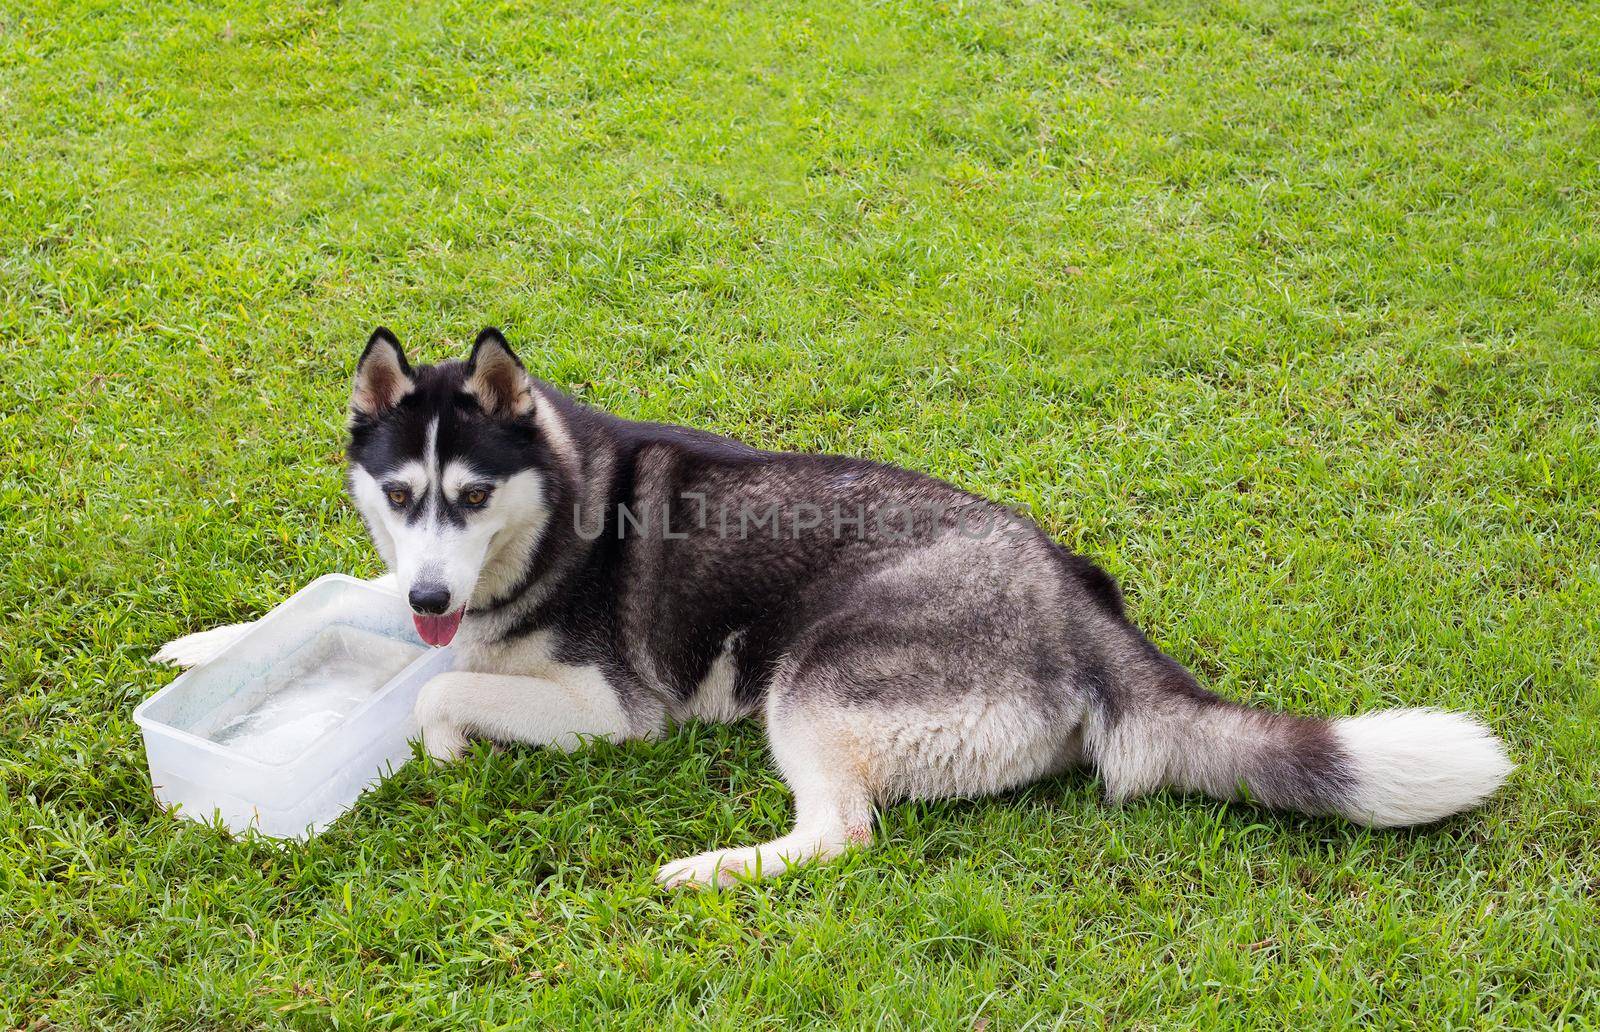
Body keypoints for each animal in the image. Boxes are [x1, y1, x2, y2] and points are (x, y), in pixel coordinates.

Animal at [156, 329, 1516, 883]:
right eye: (401, 495)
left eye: (472, 495)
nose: (438, 586)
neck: (555, 511)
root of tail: (1082, 611)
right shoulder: (424, 589)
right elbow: (366, 612)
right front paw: (207, 644)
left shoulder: (614, 711)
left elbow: (438, 686)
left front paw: (439, 749)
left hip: (808, 684)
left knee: (839, 835)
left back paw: (708, 868)